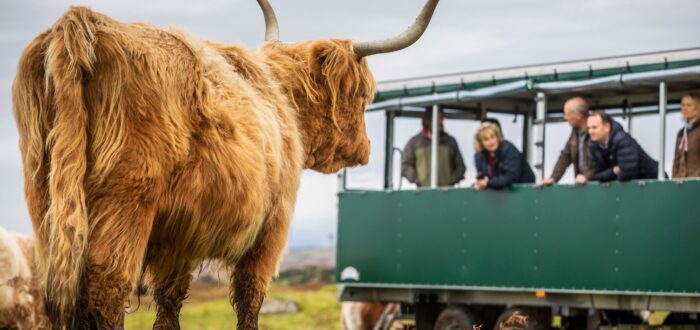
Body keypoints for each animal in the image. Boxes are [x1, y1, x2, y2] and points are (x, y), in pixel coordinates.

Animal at [9, 0, 438, 328]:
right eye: (363, 94)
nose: (364, 149)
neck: (280, 99)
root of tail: (81, 24)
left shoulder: (179, 237)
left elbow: (169, 303)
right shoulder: (272, 227)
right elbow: (250, 300)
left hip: (48, 205)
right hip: (125, 205)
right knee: (106, 292)